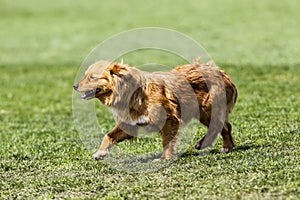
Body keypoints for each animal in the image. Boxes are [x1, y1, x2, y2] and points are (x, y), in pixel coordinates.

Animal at [74, 58, 238, 162]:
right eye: (85, 76)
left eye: (92, 77)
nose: (75, 86)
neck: (132, 93)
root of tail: (223, 73)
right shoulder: (130, 123)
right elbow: (109, 136)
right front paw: (100, 153)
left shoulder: (170, 119)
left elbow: (167, 141)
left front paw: (164, 158)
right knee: (226, 126)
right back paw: (226, 147)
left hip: (206, 110)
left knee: (218, 126)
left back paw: (207, 144)